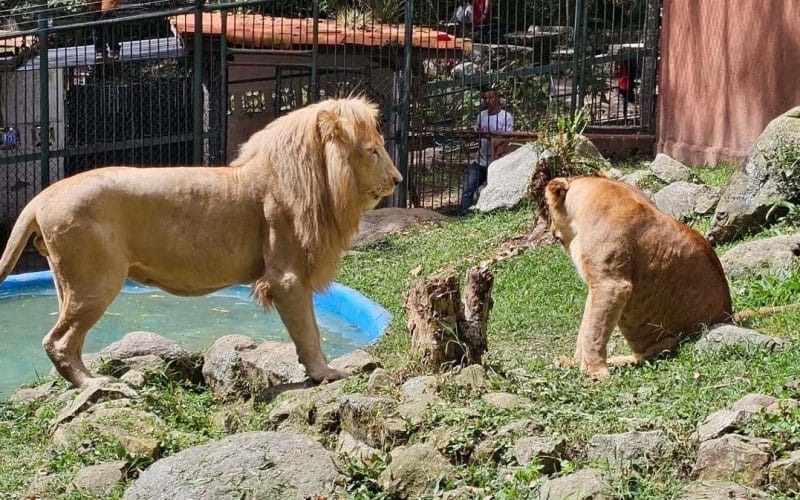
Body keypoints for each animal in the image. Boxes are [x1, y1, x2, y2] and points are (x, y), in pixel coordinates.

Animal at [0, 95, 400, 388]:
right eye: (373, 150)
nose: (397, 179)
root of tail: (41, 197)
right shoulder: (286, 277)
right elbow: (309, 331)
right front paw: (325, 373)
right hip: (96, 282)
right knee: (58, 341)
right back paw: (96, 384)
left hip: (69, 283)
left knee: (69, 340)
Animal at [548, 176, 728, 378]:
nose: (551, 229)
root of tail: (729, 316)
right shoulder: (596, 285)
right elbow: (585, 327)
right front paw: (574, 363)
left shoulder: (611, 284)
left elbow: (594, 330)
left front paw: (594, 372)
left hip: (675, 339)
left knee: (647, 355)